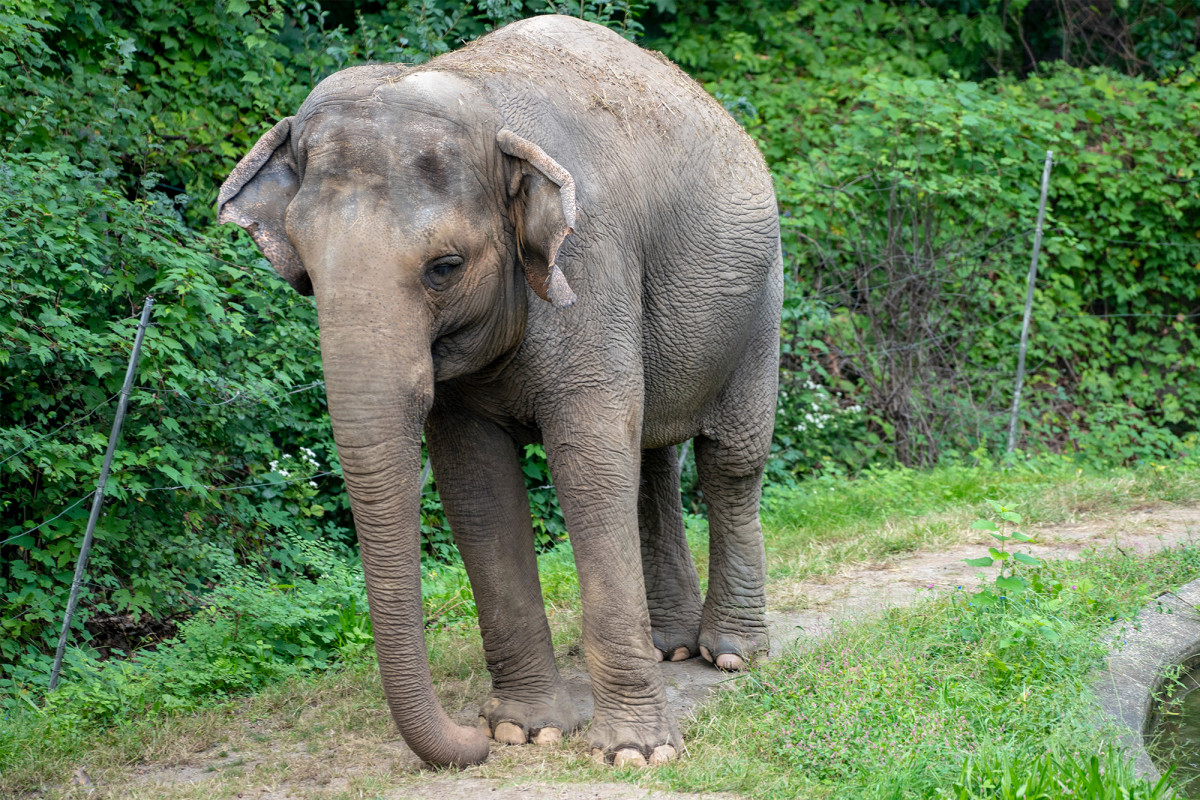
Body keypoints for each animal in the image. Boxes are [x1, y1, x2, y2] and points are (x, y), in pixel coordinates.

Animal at [218, 15, 781, 769]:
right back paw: (672, 648)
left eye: (445, 267)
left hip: (762, 295)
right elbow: (477, 486)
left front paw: (634, 753)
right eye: (305, 270)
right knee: (653, 460)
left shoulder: (591, 263)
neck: (480, 101)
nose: (471, 739)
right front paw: (527, 731)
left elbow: (587, 466)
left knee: (730, 462)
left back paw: (731, 655)